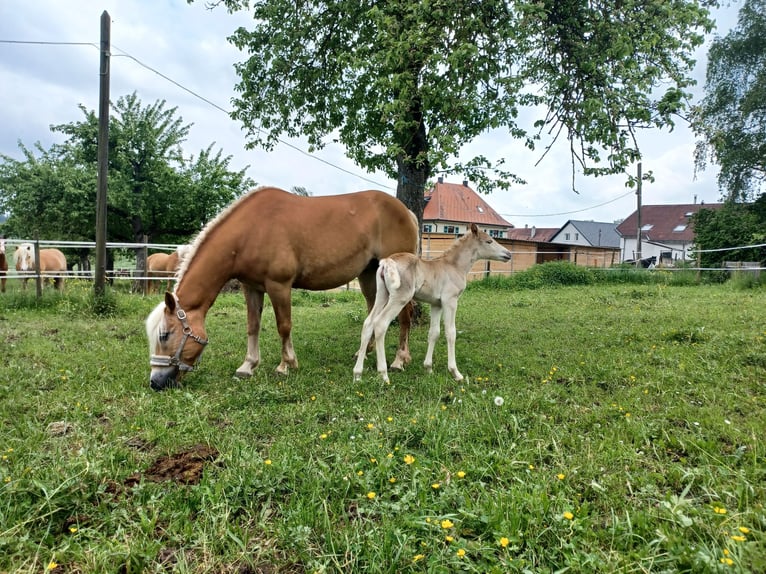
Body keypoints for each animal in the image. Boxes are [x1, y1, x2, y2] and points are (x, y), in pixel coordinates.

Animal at [144, 187, 420, 394]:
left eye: (165, 335)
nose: (155, 382)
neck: (250, 230)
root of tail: (407, 212)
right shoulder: (251, 287)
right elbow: (252, 326)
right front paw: (248, 366)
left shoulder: (279, 285)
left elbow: (283, 326)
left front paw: (286, 365)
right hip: (369, 275)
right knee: (372, 310)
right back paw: (367, 352)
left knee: (405, 315)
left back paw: (399, 360)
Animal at [356, 223, 512, 384]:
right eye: (489, 241)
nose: (508, 254)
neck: (454, 266)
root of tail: (387, 261)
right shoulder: (450, 300)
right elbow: (451, 332)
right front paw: (455, 372)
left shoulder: (436, 304)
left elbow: (434, 333)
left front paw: (428, 368)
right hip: (400, 298)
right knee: (380, 324)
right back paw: (384, 375)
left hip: (382, 295)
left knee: (368, 323)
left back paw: (357, 374)